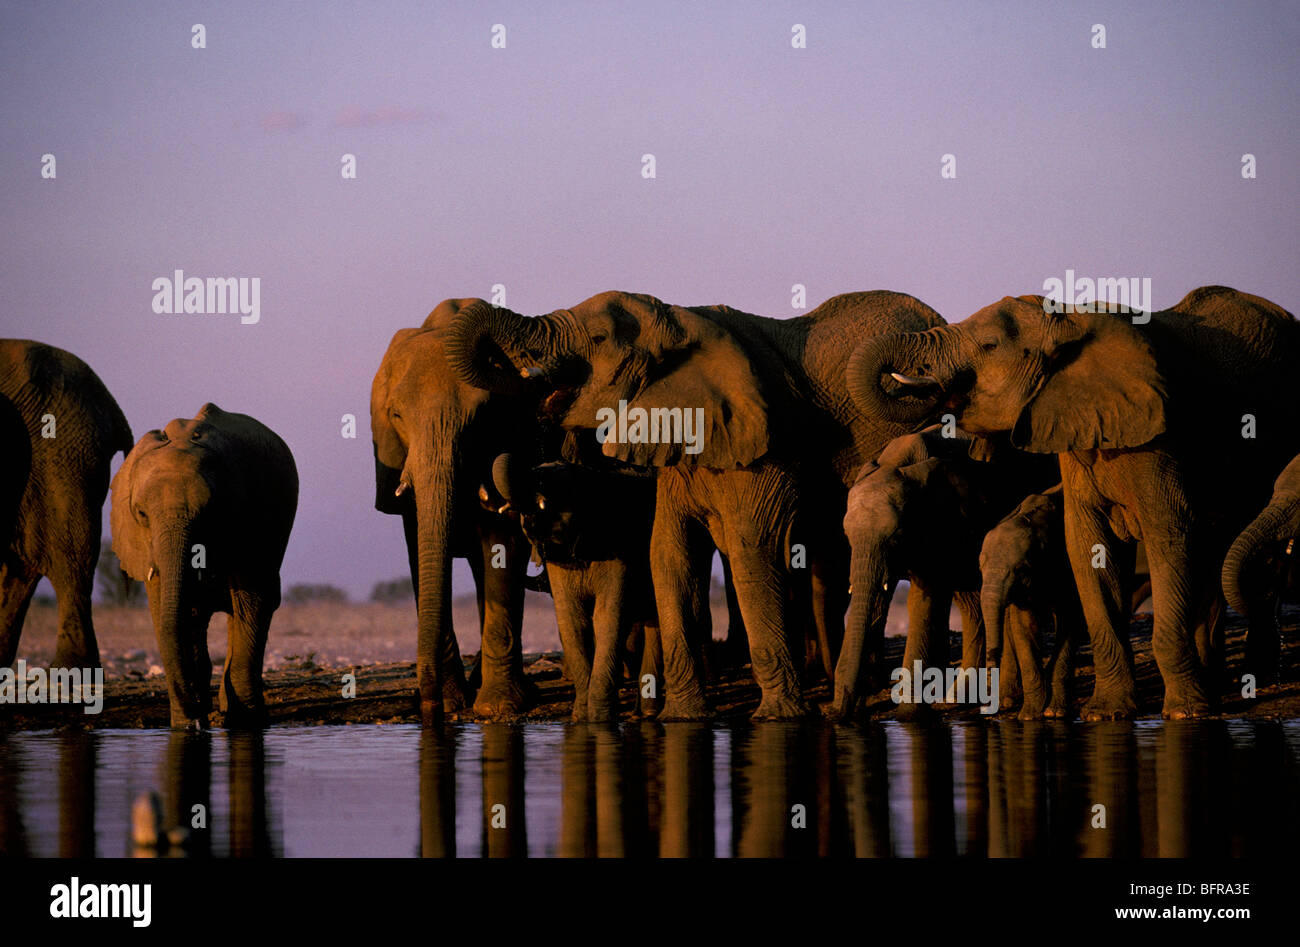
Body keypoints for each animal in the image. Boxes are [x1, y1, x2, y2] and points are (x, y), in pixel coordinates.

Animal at [110, 403, 297, 729]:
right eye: (141, 514)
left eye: (208, 512)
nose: (194, 720)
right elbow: (171, 610)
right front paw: (186, 725)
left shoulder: (250, 515)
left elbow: (251, 598)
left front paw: (245, 723)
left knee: (252, 606)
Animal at [372, 299, 555, 724]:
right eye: (397, 415)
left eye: (483, 416)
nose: (430, 711)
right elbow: (420, 549)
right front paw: (455, 702)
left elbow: (503, 544)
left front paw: (497, 708)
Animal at [487, 453, 662, 721]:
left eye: (557, 484)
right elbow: (572, 621)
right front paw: (581, 718)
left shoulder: (619, 546)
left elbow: (607, 618)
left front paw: (601, 719)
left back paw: (648, 713)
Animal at [832, 425, 1059, 719]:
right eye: (846, 534)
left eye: (896, 535)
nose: (841, 712)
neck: (899, 462)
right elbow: (880, 594)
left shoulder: (943, 521)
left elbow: (922, 600)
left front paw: (908, 715)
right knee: (972, 604)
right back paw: (955, 699)